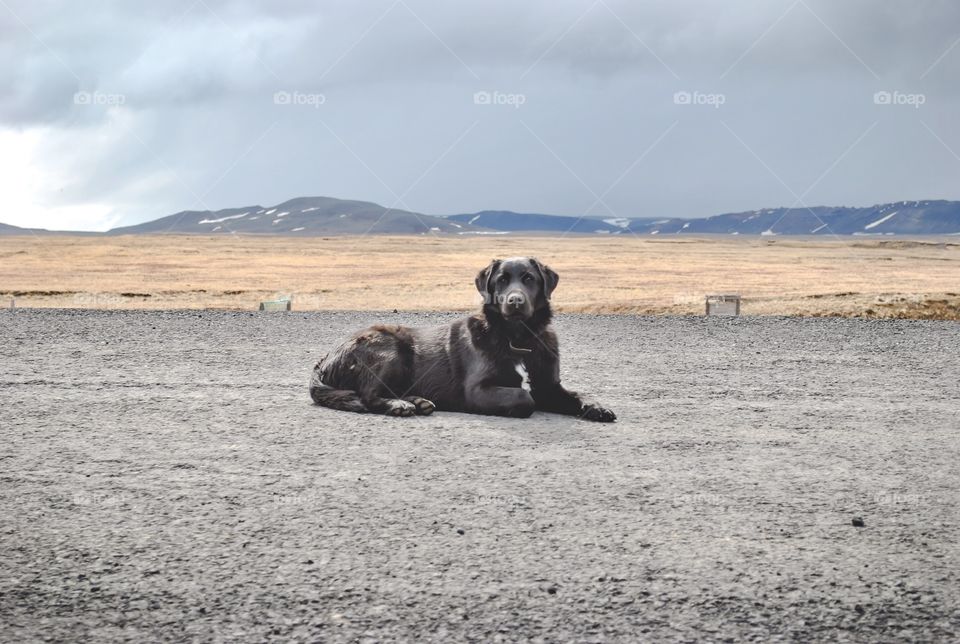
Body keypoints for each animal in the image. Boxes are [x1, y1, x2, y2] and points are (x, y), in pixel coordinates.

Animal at [312, 256, 620, 422]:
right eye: (501, 280)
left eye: (529, 278)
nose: (515, 301)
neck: (518, 338)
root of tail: (324, 359)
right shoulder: (478, 389)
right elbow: (525, 397)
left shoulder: (549, 386)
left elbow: (575, 394)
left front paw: (596, 406)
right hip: (389, 350)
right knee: (368, 395)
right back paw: (400, 406)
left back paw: (418, 401)